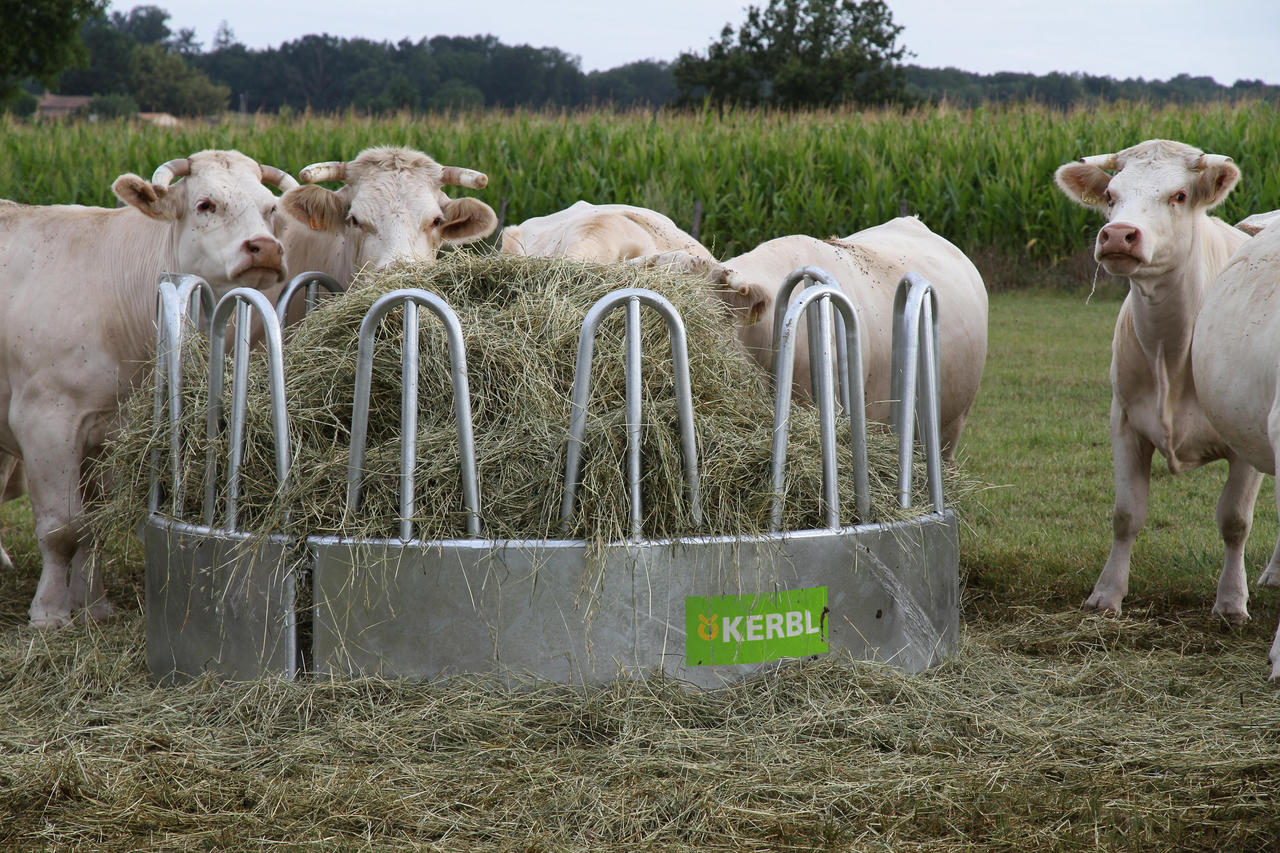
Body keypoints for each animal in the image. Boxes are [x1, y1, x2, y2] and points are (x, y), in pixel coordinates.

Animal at [0, 149, 293, 625]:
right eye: (205, 204)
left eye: (270, 209)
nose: (266, 248)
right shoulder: (45, 422)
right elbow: (62, 526)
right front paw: (50, 611)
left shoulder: (111, 432)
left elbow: (96, 524)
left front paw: (94, 604)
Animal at [1054, 137, 1254, 617]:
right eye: (1111, 196)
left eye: (1179, 196)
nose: (1117, 235)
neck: (1173, 350)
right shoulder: (1125, 422)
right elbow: (1127, 514)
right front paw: (1107, 593)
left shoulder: (1244, 440)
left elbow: (1235, 520)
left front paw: (1231, 600)